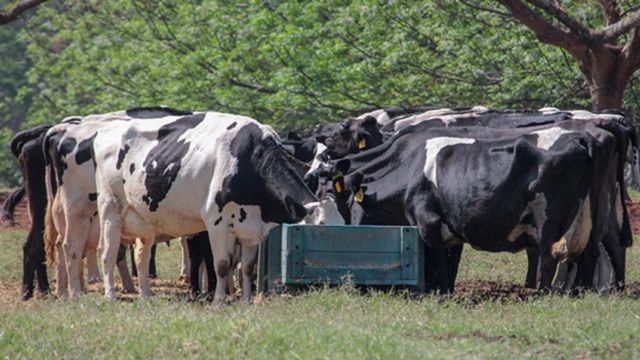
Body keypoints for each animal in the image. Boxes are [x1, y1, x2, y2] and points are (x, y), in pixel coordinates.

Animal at [91, 112, 344, 300]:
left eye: (342, 223)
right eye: (320, 225)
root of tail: (106, 131)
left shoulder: (252, 228)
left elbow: (247, 267)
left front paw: (245, 300)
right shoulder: (217, 223)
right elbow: (221, 264)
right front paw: (219, 301)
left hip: (144, 219)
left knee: (142, 256)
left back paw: (145, 297)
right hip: (111, 209)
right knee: (108, 251)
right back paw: (110, 295)